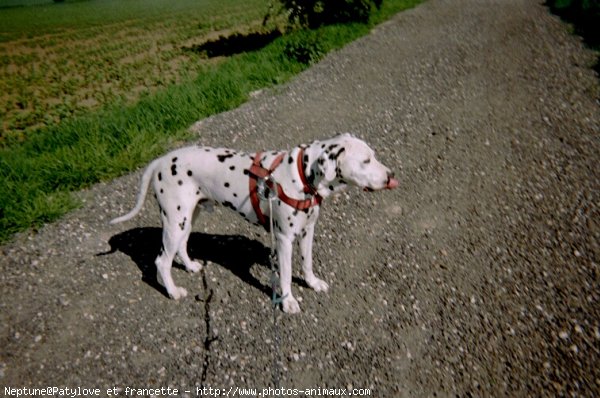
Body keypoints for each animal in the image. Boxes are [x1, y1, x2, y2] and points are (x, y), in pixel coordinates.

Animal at [112, 134, 398, 314]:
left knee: (181, 248)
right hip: (175, 221)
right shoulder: (284, 240)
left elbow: (306, 263)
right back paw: (172, 291)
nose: (391, 175)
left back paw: (191, 266)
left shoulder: (307, 232)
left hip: (187, 218)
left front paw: (313, 283)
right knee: (162, 261)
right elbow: (285, 276)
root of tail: (160, 161)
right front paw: (288, 302)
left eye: (373, 156)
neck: (301, 175)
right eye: (365, 161)